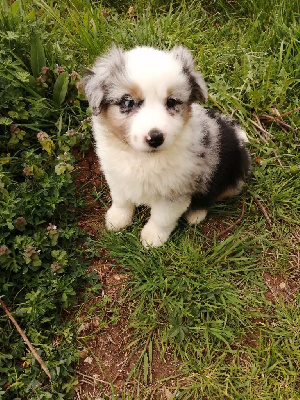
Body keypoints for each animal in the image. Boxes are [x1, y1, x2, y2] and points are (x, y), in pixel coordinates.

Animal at [82, 45, 251, 245]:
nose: (155, 138)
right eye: (127, 102)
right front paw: (116, 220)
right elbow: (121, 200)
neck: (143, 159)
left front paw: (152, 238)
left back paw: (196, 214)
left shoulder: (176, 191)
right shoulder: (117, 176)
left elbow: (162, 217)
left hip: (230, 179)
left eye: (171, 102)